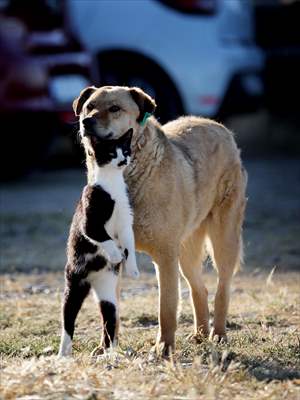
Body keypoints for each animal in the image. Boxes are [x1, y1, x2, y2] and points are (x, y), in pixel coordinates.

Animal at [74, 85, 247, 356]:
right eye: (89, 106)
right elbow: (109, 311)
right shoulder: (113, 257)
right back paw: (200, 335)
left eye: (114, 108)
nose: (86, 121)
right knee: (200, 288)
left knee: (222, 288)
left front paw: (164, 347)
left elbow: (166, 307)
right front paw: (106, 348)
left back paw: (218, 334)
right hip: (186, 251)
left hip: (223, 240)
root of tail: (219, 127)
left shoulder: (165, 256)